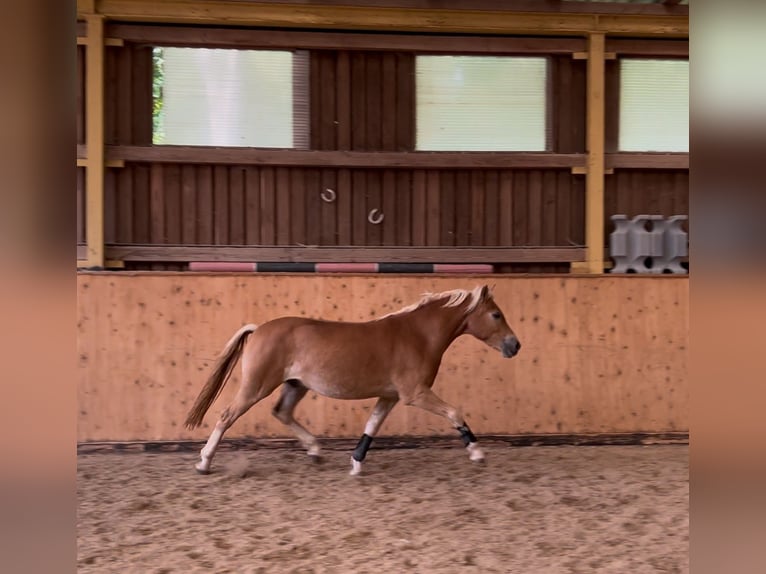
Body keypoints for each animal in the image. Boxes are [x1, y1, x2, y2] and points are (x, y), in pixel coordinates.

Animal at [185, 284, 520, 476]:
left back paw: (315, 452)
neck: (418, 335)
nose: (514, 345)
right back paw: (204, 462)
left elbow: (372, 426)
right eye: (496, 315)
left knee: (282, 412)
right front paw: (477, 453)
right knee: (226, 416)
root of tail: (258, 329)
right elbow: (454, 413)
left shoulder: (390, 396)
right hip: (256, 386)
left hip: (296, 385)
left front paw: (356, 462)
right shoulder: (415, 393)